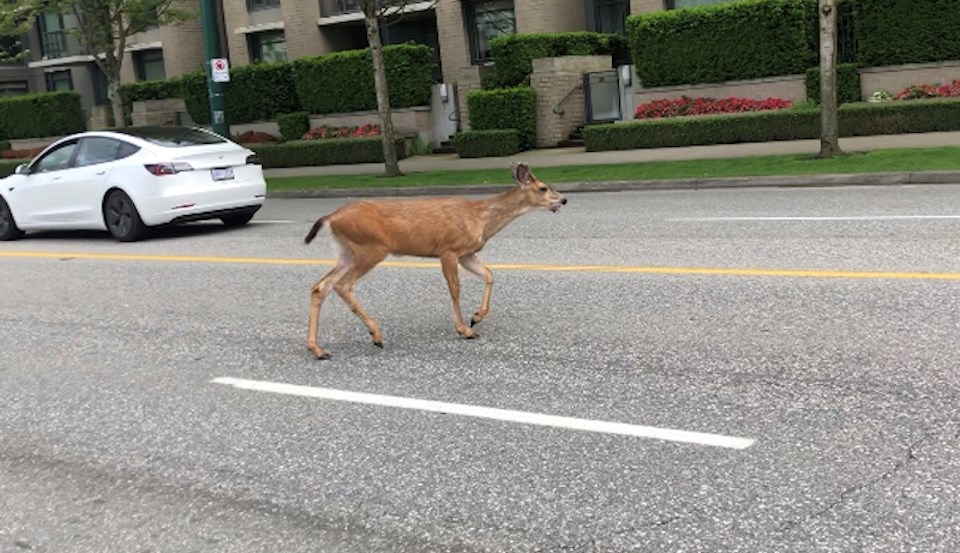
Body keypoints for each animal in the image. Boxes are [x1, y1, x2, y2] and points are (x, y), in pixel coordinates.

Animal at [304, 161, 568, 358]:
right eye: (544, 187)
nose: (563, 200)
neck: (480, 218)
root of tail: (331, 217)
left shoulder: (467, 253)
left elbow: (489, 274)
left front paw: (476, 317)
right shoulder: (448, 250)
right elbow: (455, 289)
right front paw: (464, 329)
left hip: (347, 252)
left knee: (320, 287)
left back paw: (318, 349)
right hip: (370, 249)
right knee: (341, 285)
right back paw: (376, 336)